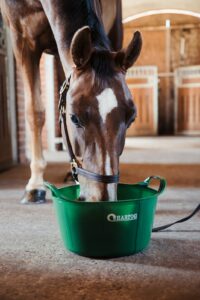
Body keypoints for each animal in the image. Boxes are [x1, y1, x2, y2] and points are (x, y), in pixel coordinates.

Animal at [0, 0, 142, 203]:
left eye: (131, 118)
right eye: (74, 118)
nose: (103, 198)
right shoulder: (23, 39)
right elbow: (34, 112)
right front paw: (35, 186)